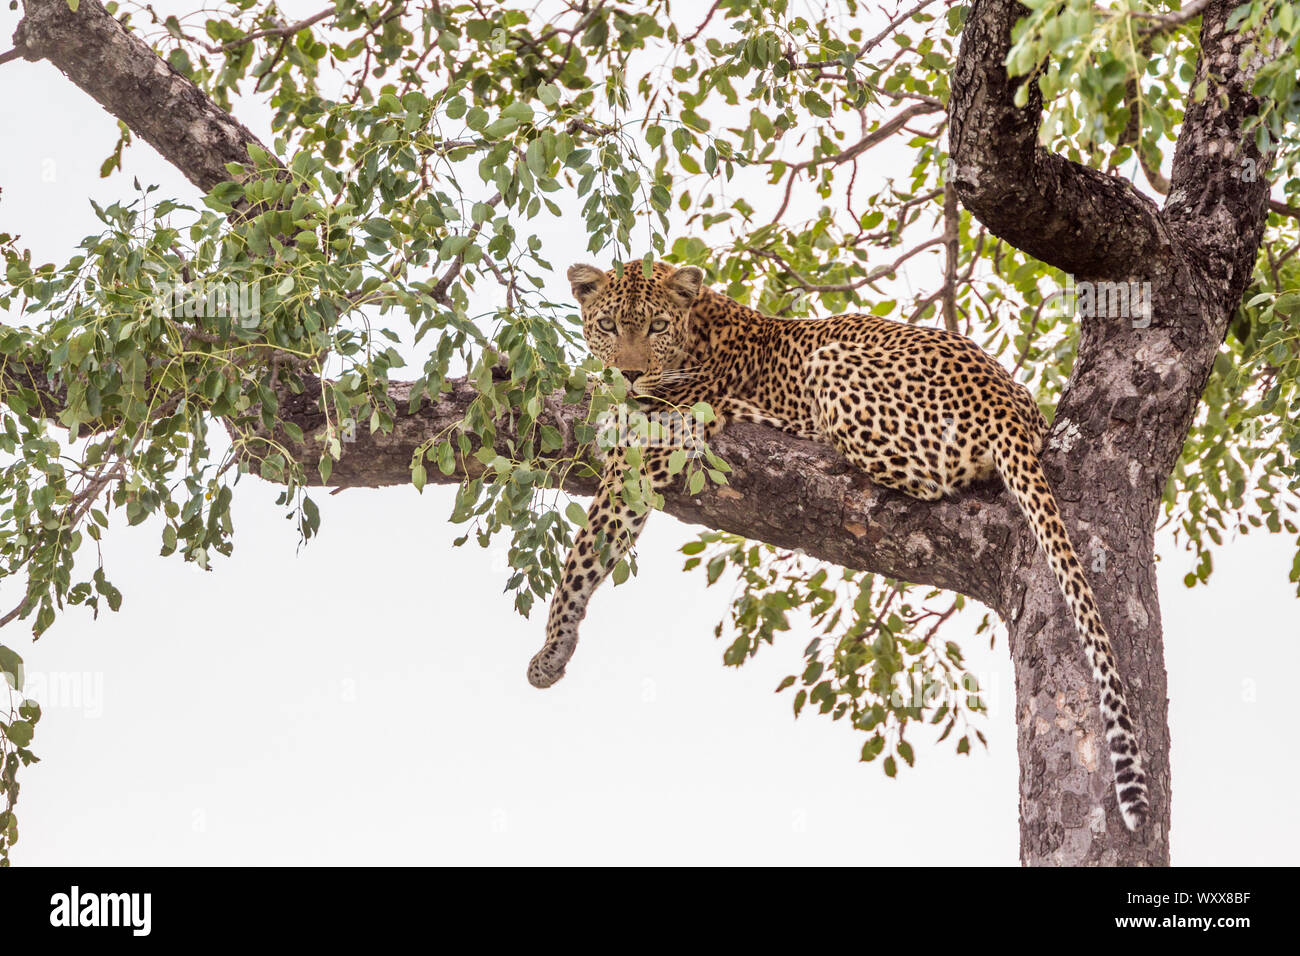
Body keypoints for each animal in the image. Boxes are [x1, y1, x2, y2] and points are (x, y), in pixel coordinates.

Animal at [527, 259, 1149, 833]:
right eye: (608, 324)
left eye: (655, 326)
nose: (630, 374)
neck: (697, 328)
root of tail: (1005, 403)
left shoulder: (648, 450)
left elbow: (585, 549)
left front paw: (550, 650)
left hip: (832, 364)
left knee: (925, 477)